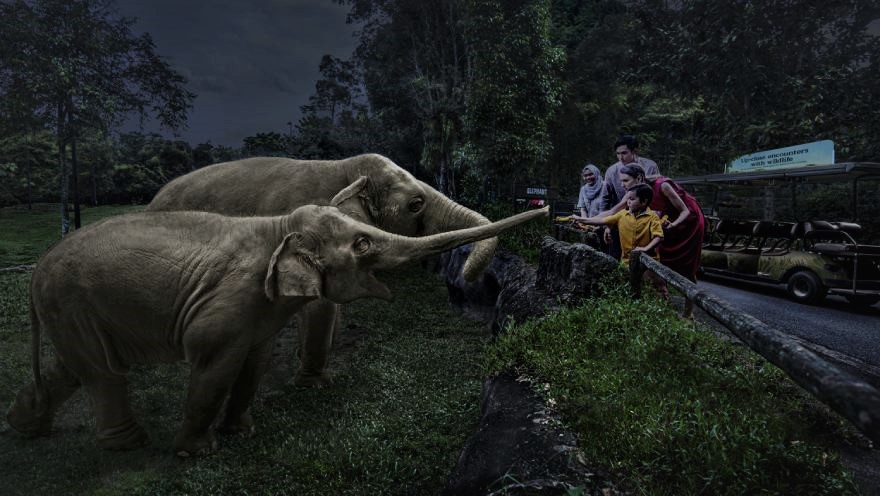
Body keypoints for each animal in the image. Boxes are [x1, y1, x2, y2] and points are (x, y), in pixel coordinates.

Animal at [6, 197, 548, 454]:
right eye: (364, 243)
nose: (543, 209)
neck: (278, 225)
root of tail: (36, 270)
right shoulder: (228, 301)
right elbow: (213, 363)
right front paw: (198, 453)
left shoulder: (258, 311)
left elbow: (256, 360)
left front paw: (241, 433)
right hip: (70, 302)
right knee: (102, 372)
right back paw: (129, 445)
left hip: (73, 310)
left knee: (76, 368)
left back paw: (24, 427)